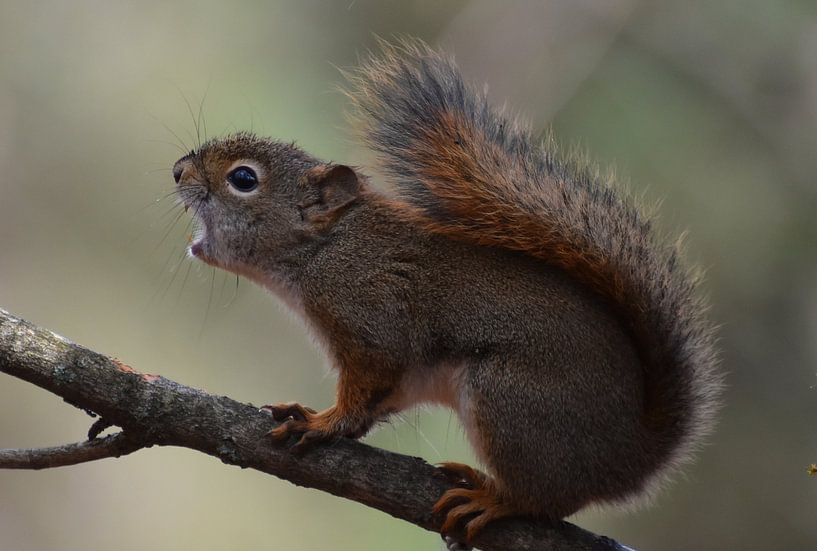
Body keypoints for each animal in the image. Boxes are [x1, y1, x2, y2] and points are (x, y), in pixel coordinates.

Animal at [171, 40, 721, 542]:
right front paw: (317, 415)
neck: (324, 251)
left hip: (512, 401)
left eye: (244, 179)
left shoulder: (371, 318)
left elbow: (367, 383)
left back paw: (494, 499)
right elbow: (379, 402)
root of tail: (634, 457)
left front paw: (324, 421)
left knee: (546, 499)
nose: (177, 169)